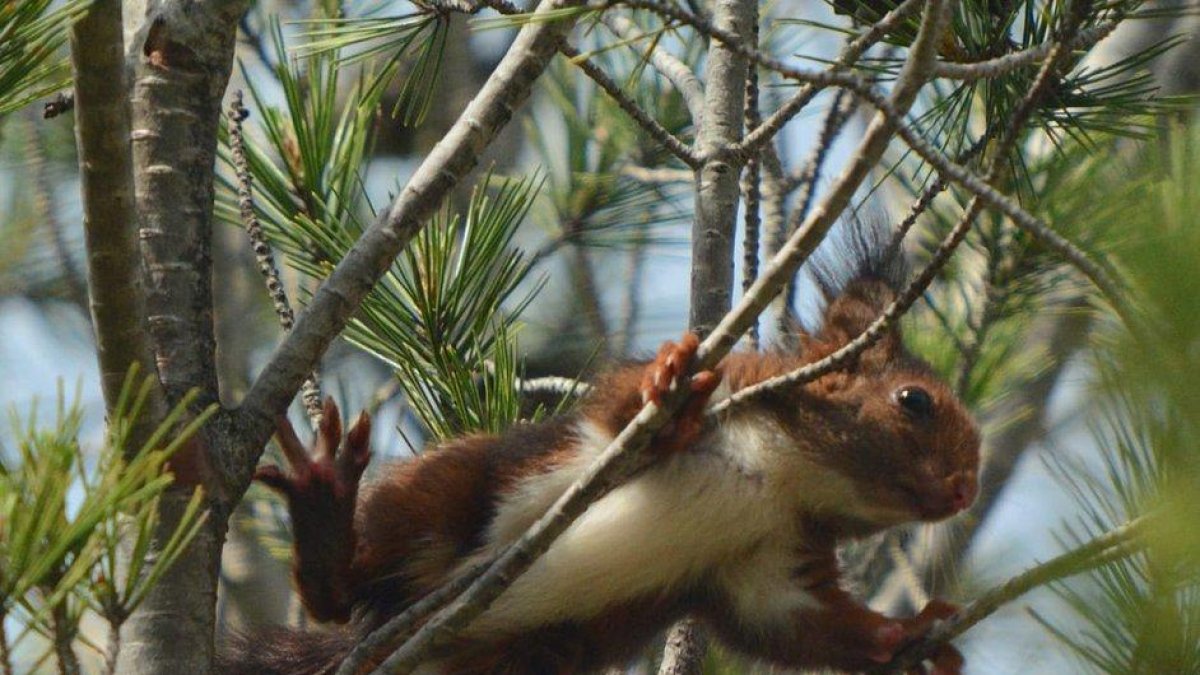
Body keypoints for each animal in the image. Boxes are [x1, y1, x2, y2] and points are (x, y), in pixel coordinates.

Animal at [220, 241, 979, 672]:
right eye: (915, 401)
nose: (967, 489)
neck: (780, 477)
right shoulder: (727, 384)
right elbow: (619, 410)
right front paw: (666, 387)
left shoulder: (766, 561)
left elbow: (798, 624)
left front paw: (910, 633)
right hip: (447, 492)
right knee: (348, 582)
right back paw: (325, 505)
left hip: (535, 654)